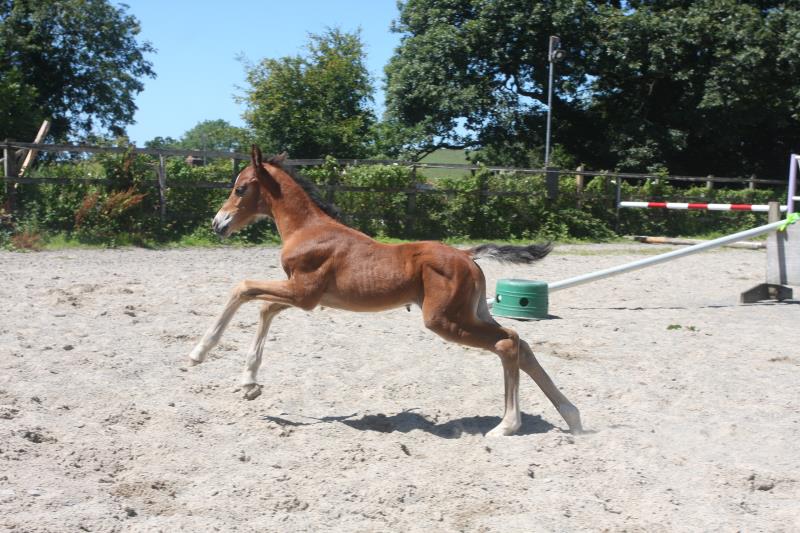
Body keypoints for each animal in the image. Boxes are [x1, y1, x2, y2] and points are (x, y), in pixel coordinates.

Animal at [191, 145, 584, 436]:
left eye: (240, 188)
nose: (217, 224)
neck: (307, 230)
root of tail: (466, 254)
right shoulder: (304, 296)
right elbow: (263, 307)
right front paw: (249, 384)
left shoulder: (303, 293)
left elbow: (243, 288)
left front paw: (199, 353)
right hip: (472, 312)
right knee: (520, 341)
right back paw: (572, 416)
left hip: (444, 320)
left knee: (507, 343)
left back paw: (508, 425)